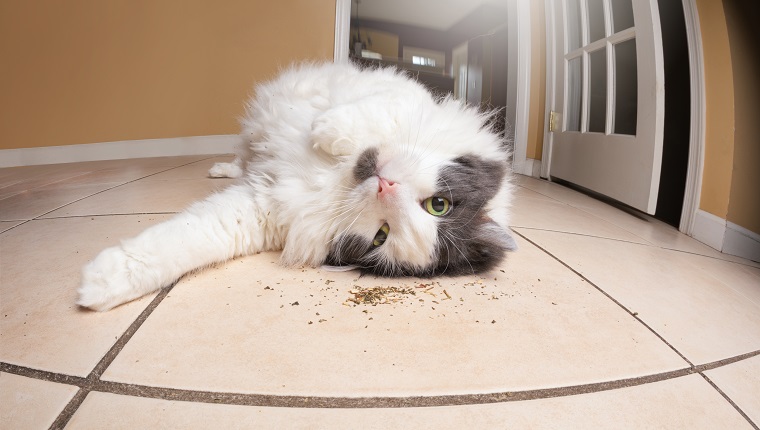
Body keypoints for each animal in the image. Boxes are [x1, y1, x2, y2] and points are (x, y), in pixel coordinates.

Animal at [75, 62, 516, 310]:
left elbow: (185, 243)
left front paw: (99, 284)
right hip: (252, 133)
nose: (385, 185)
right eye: (439, 205)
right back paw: (221, 168)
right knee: (242, 155)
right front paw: (327, 131)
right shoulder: (404, 98)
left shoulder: (262, 208)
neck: (340, 175)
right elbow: (376, 112)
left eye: (381, 236)